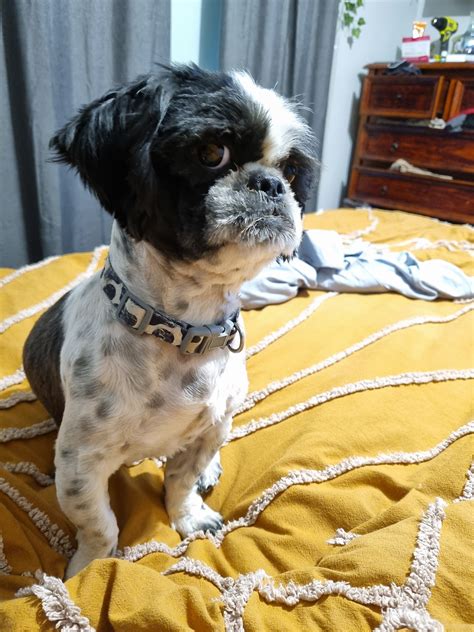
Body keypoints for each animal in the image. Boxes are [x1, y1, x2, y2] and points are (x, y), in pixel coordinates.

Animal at [23, 64, 316, 578]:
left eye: (292, 171)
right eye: (212, 153)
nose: (270, 184)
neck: (180, 331)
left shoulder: (211, 427)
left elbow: (181, 480)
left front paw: (190, 515)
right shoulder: (80, 463)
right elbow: (99, 523)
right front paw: (88, 568)